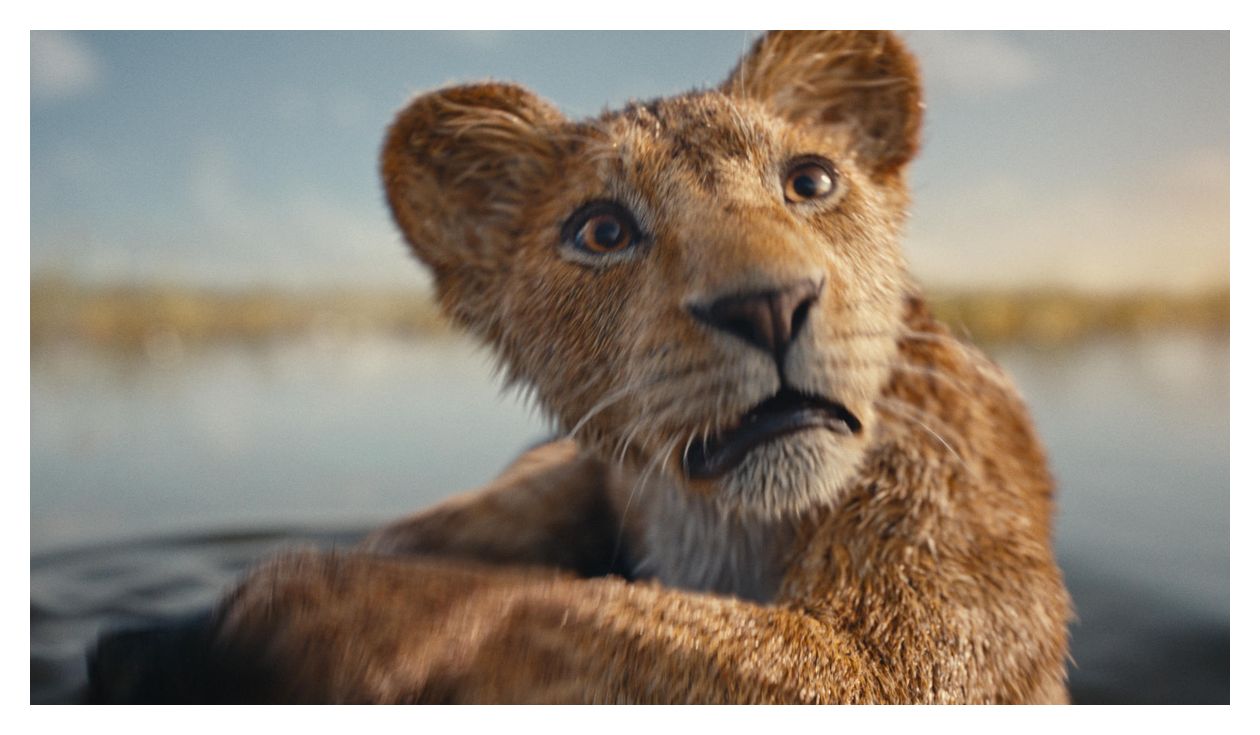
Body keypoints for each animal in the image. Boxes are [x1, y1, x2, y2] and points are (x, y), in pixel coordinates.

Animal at [90, 30, 1071, 703]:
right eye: (602, 230)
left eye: (812, 181)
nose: (768, 304)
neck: (719, 522)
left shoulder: (908, 653)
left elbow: (560, 608)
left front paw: (301, 607)